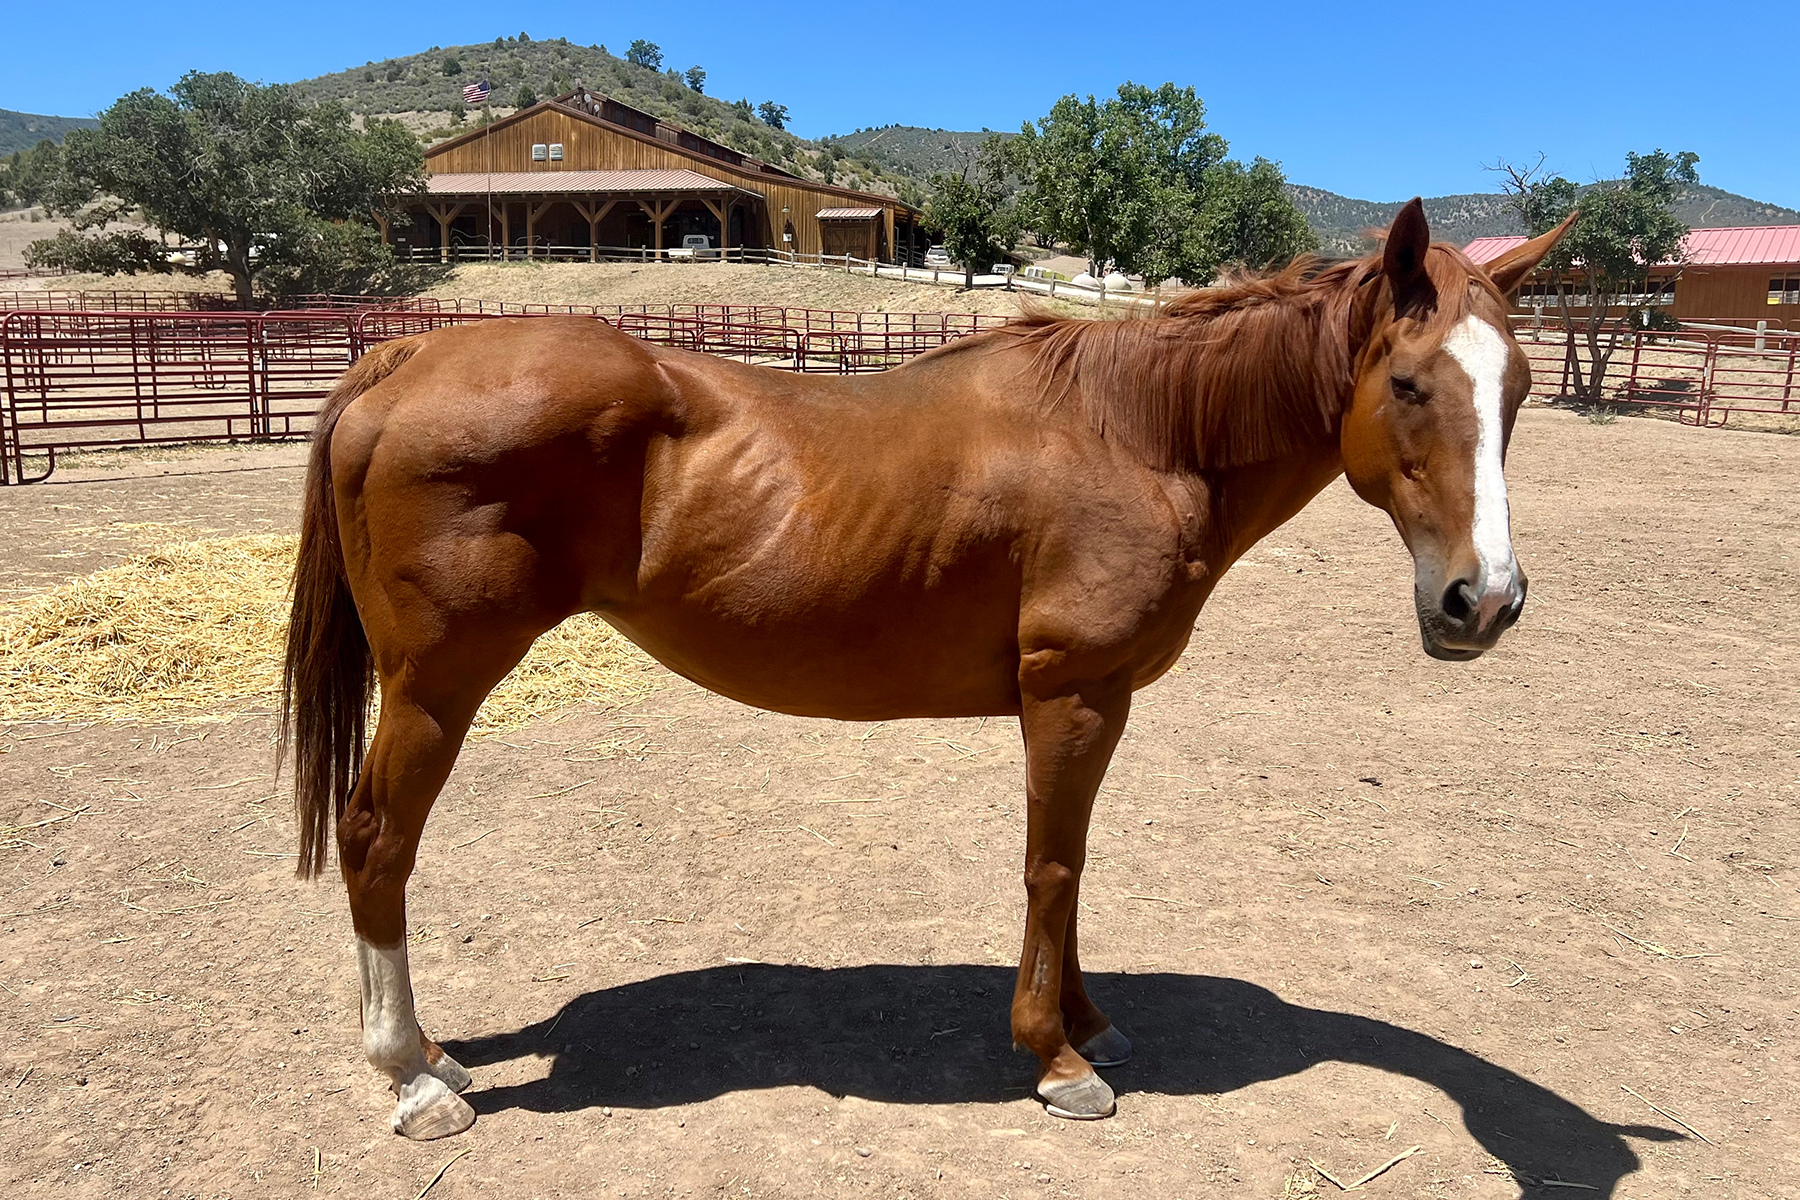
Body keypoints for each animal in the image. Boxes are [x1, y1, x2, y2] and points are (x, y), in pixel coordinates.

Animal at [282, 199, 1573, 1139]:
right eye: (1407, 383)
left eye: (1516, 389)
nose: (1484, 602)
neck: (1139, 434)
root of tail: (402, 360)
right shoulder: (1069, 695)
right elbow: (1051, 866)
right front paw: (1056, 1057)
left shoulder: (1098, 703)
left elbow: (1077, 866)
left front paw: (1091, 1022)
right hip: (439, 685)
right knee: (375, 839)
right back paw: (412, 1078)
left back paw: (434, 1053)